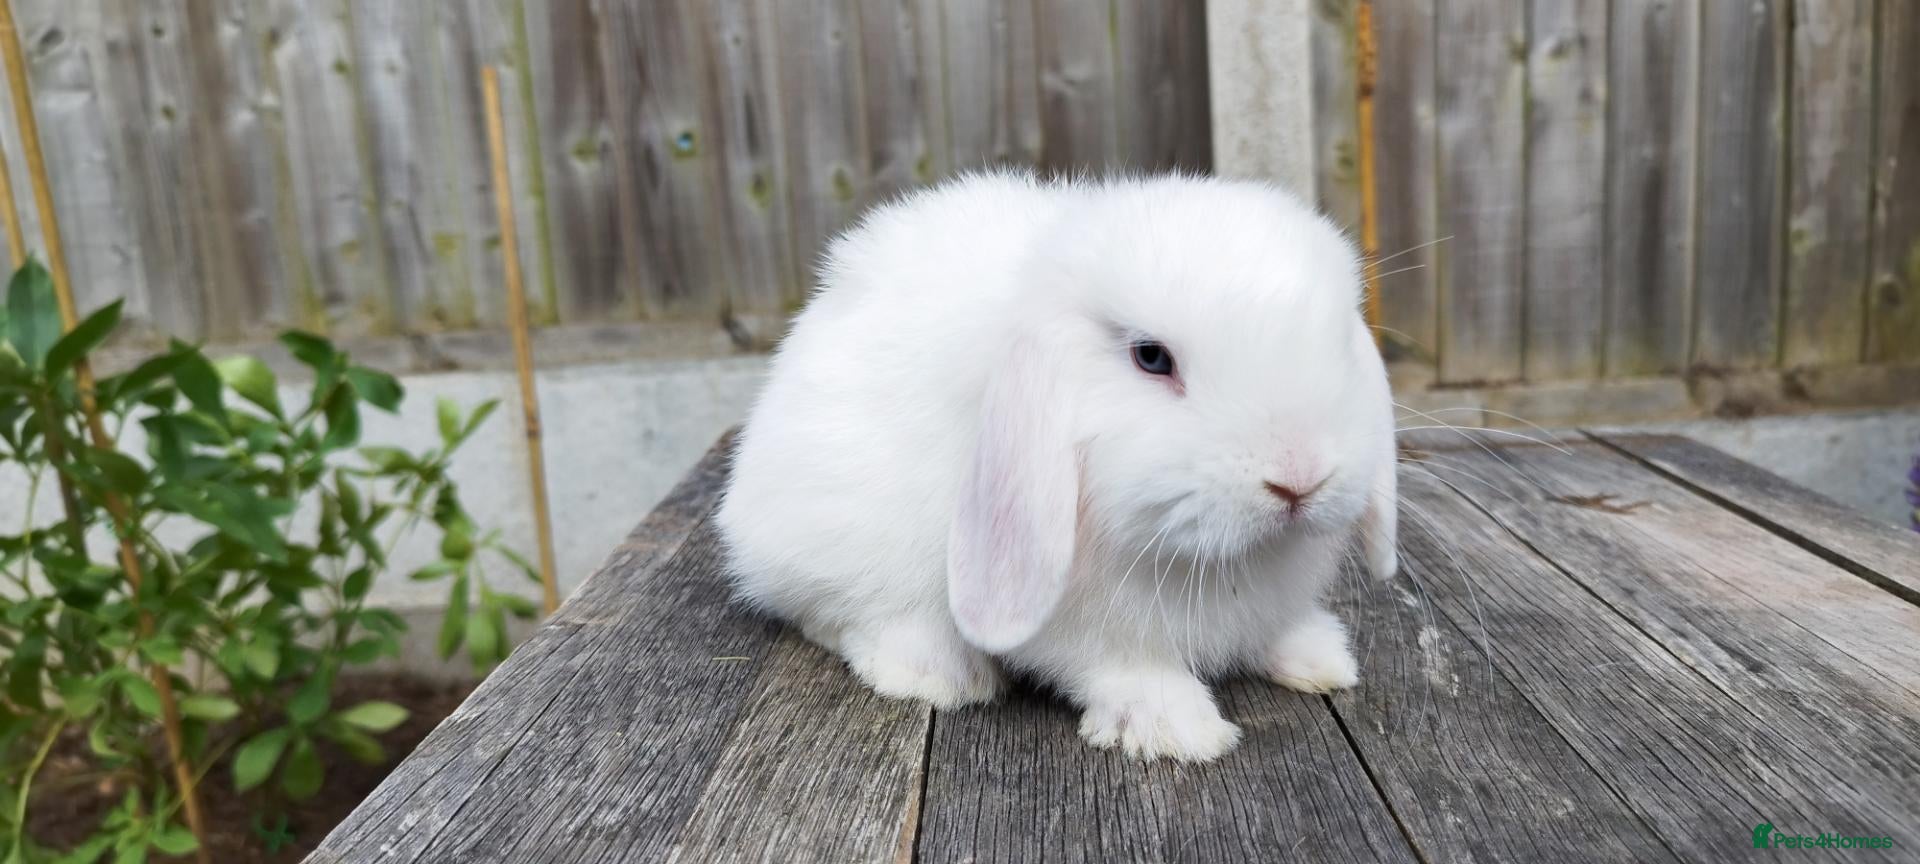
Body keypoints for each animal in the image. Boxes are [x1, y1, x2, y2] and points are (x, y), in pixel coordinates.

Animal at [716, 170, 1398, 762]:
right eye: (1152, 357)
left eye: (1339, 344)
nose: (1299, 478)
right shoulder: (1079, 619)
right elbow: (1121, 665)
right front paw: (1174, 729)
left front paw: (1318, 657)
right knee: (830, 617)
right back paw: (939, 672)